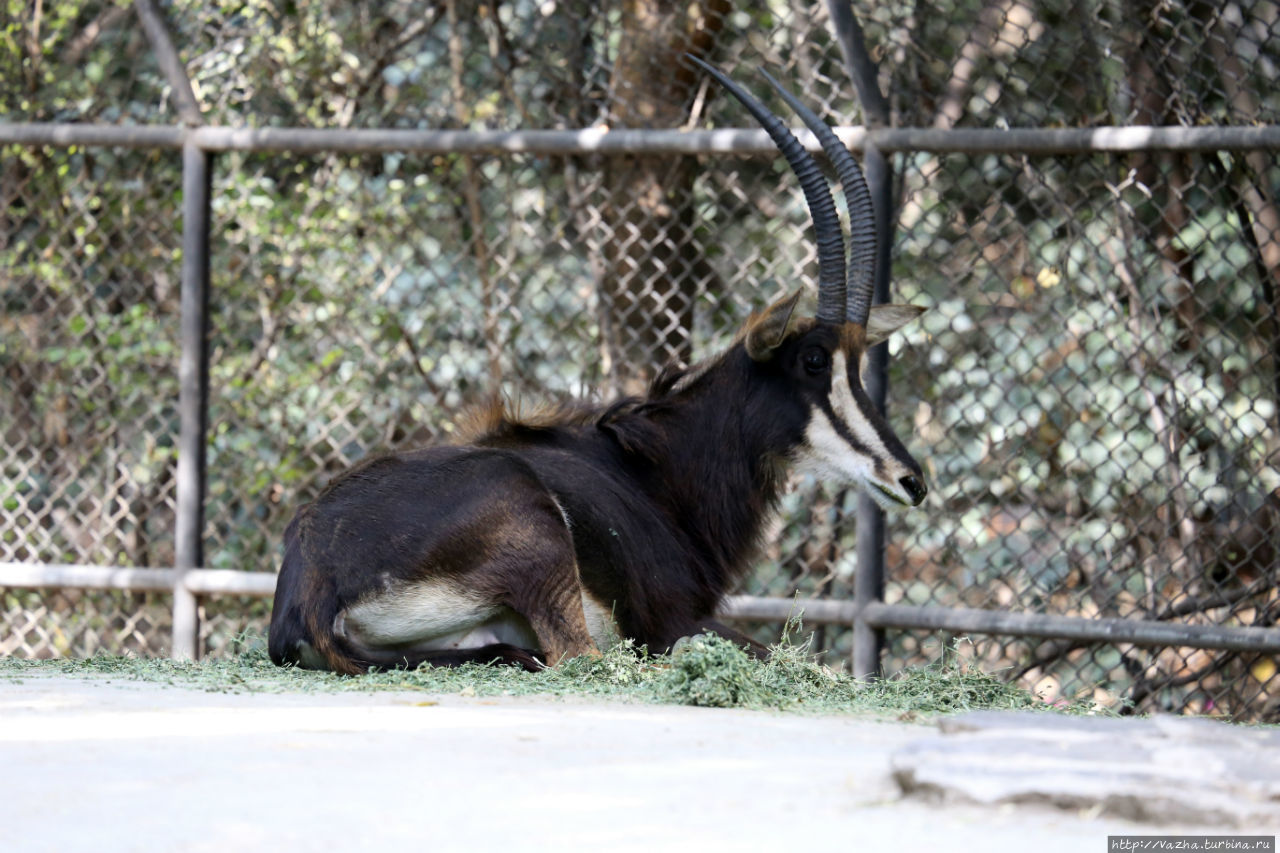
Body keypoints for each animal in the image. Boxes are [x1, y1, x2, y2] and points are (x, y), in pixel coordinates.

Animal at [270, 59, 931, 671]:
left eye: (857, 361)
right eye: (814, 360)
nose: (911, 481)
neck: (657, 470)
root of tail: (312, 581)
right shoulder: (674, 619)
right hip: (538, 536)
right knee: (584, 658)